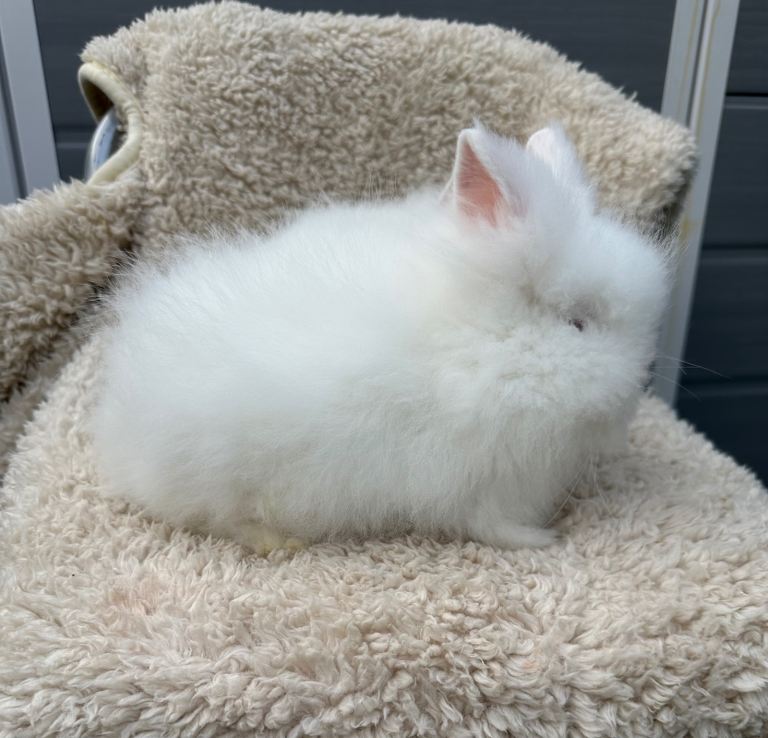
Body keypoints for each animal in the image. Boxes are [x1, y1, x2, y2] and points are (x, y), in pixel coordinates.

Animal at [89, 123, 671, 554]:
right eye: (578, 323)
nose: (641, 381)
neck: (485, 341)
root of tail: (121, 433)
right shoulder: (484, 478)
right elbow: (493, 526)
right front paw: (544, 540)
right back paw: (281, 542)